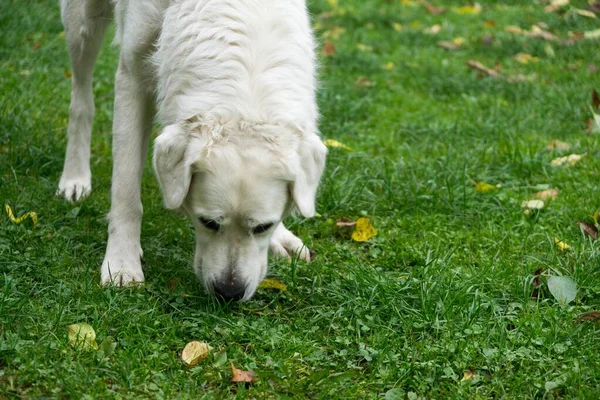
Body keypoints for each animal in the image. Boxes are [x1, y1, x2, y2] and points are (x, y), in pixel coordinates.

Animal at [55, 0, 326, 300]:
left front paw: (282, 238)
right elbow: (126, 191)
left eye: (263, 227)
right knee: (81, 100)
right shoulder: (132, 73)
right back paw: (75, 178)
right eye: (207, 222)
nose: (229, 293)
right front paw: (121, 264)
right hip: (81, 25)